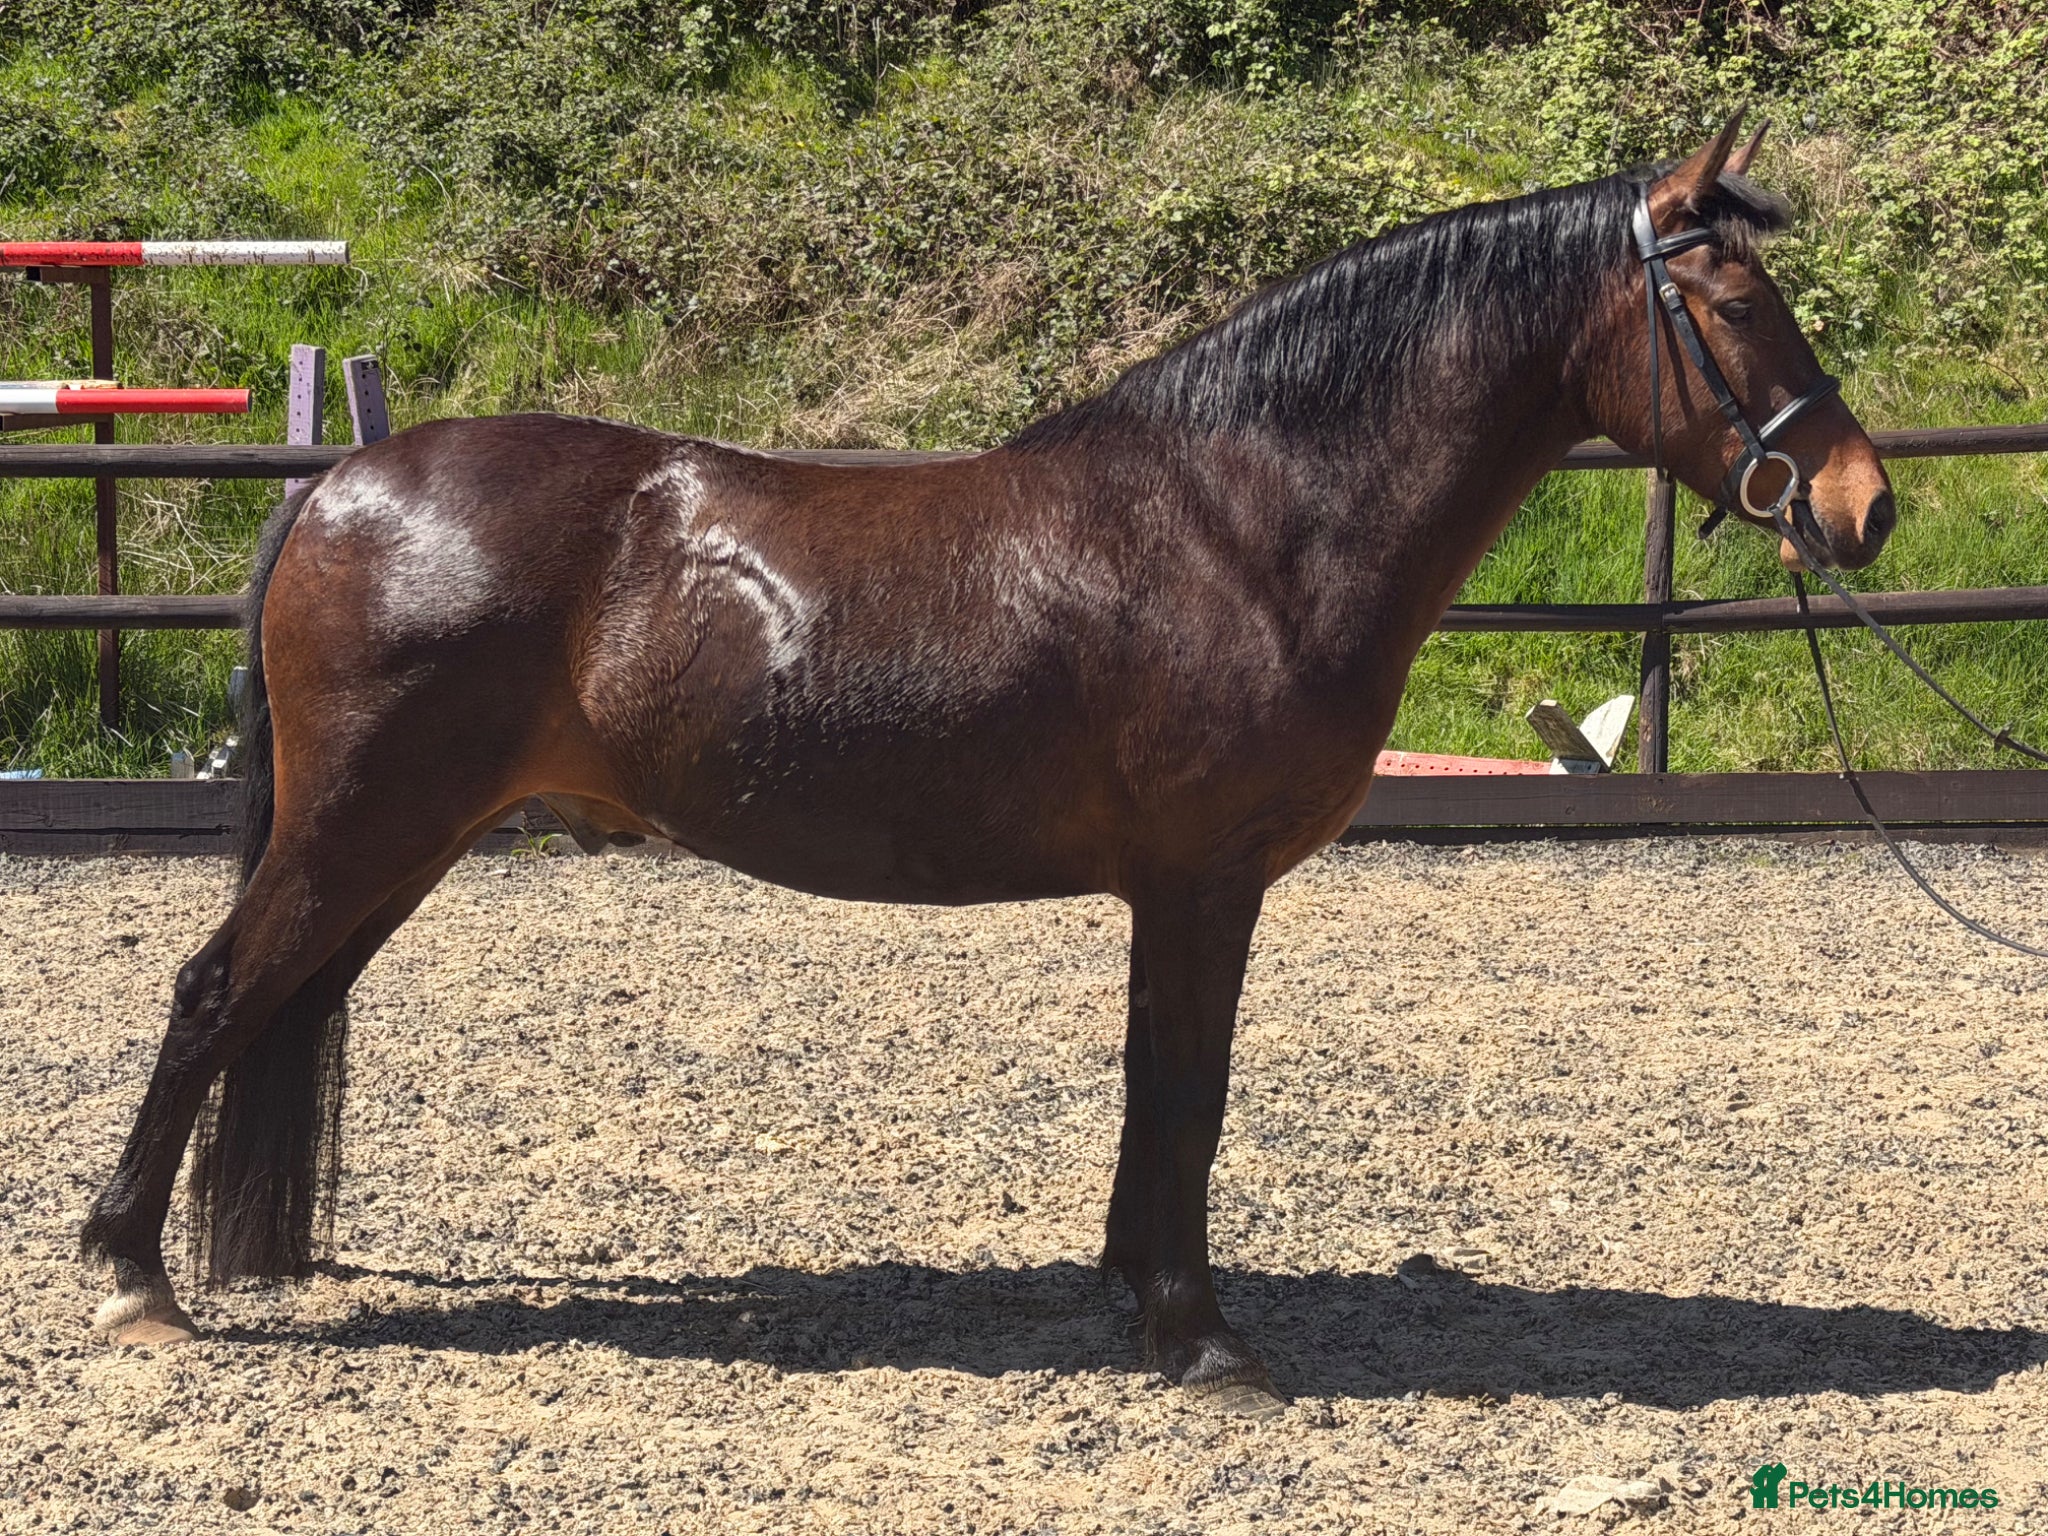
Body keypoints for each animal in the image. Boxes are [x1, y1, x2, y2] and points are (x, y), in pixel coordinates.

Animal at [83, 114, 1893, 1415]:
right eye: (1737, 306)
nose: (1861, 505)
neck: (1243, 516)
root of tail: (343, 484)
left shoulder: (1172, 890)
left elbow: (1154, 1086)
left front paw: (1129, 1295)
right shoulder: (1203, 881)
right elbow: (1189, 1089)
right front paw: (1200, 1336)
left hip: (402, 842)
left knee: (291, 1002)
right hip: (361, 825)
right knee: (211, 993)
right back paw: (133, 1279)